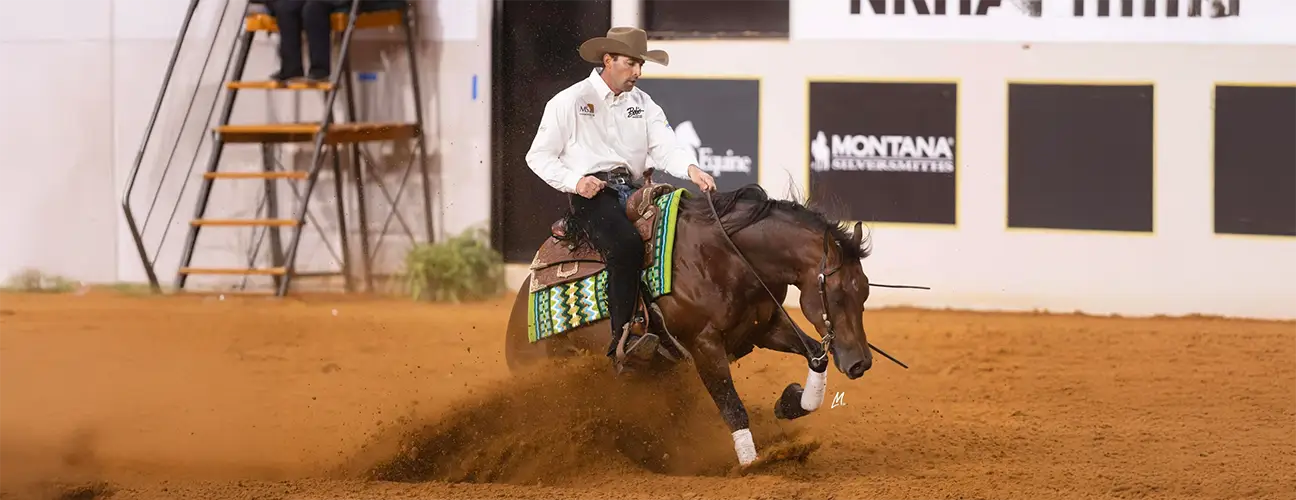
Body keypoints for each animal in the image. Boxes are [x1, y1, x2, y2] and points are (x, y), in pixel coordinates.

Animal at [504, 179, 877, 467]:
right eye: (838, 295)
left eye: (865, 292)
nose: (861, 362)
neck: (727, 257)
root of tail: (516, 326)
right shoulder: (704, 345)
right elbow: (732, 407)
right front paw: (753, 464)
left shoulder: (764, 326)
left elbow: (816, 354)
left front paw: (792, 401)